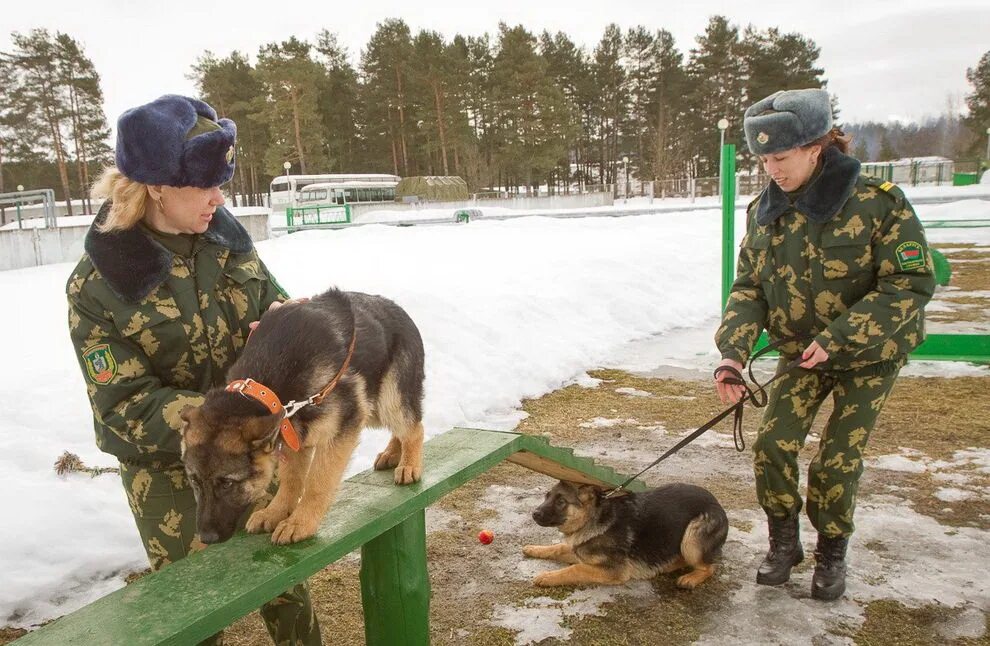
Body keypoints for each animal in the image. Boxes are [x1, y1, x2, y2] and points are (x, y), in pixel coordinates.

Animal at [180, 288, 424, 548]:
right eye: (194, 481)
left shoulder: (339, 431)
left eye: (227, 482)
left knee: (414, 427)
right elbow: (291, 479)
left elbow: (317, 482)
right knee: (404, 427)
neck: (265, 387)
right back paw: (393, 453)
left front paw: (301, 522)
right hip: (372, 407)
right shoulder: (291, 432)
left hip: (388, 400)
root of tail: (396, 307)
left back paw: (409, 464)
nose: (207, 538)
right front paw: (275, 512)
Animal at [528, 480, 728, 592]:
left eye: (561, 501)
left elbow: (575, 569)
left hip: (692, 537)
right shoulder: (579, 550)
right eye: (547, 496)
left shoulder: (614, 570)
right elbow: (558, 547)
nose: (534, 514)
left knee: (710, 566)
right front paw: (533, 549)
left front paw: (546, 577)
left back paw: (690, 578)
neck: (594, 518)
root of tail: (717, 503)